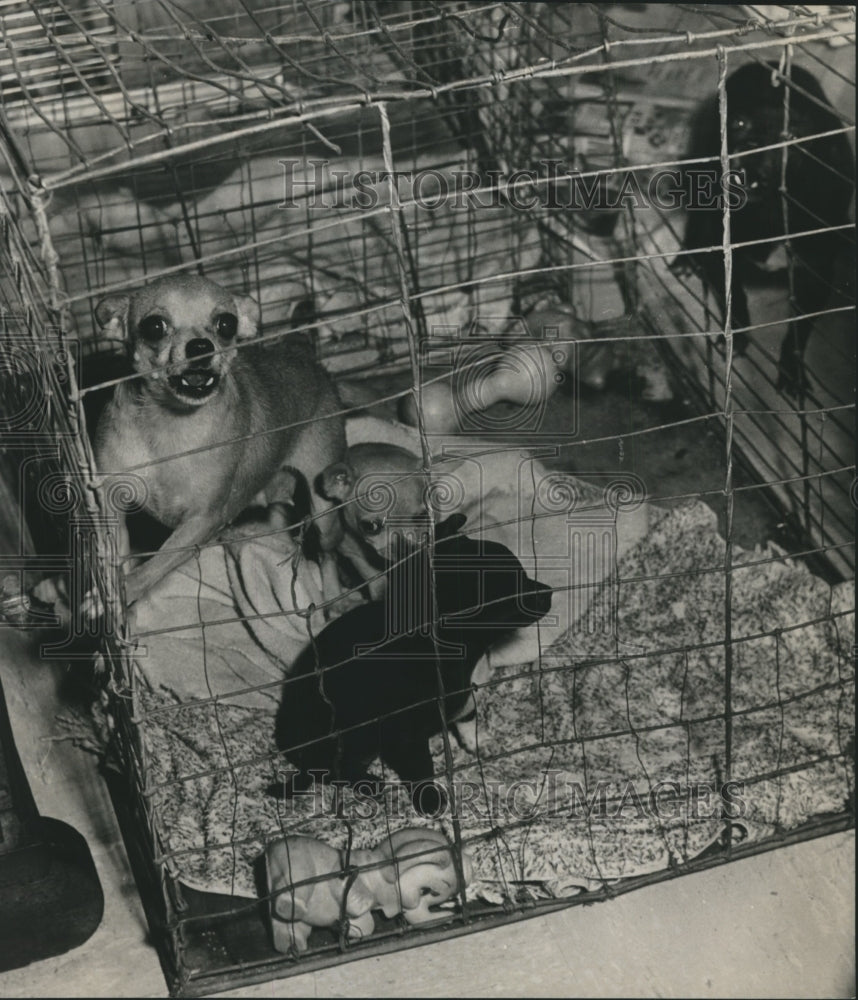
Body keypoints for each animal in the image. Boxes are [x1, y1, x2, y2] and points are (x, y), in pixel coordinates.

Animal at [93, 278, 344, 612]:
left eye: (227, 324)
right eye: (154, 326)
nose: (201, 346)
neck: (169, 425)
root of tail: (305, 356)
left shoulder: (202, 521)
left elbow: (155, 565)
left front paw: (124, 590)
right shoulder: (112, 505)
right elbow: (116, 556)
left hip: (324, 511)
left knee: (329, 553)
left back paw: (334, 595)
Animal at [278, 512, 552, 816]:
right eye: (511, 593)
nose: (550, 591)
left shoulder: (460, 695)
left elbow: (468, 717)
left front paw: (478, 743)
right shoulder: (405, 735)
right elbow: (421, 768)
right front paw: (429, 800)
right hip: (355, 739)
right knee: (336, 770)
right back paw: (368, 783)